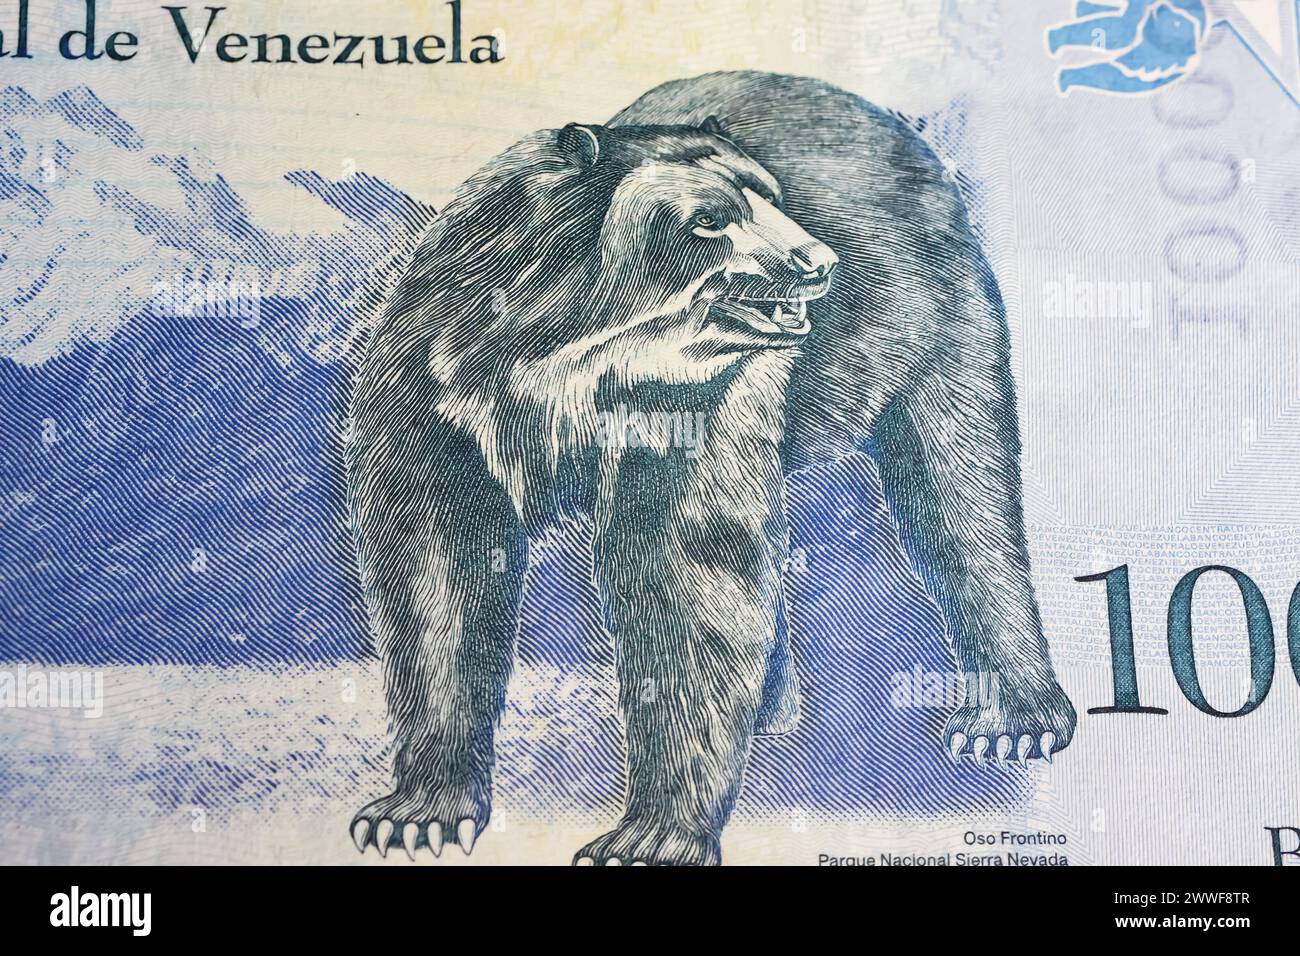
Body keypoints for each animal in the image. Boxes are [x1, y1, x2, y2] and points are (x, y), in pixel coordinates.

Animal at [345, 71, 1077, 866]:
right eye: (711, 220)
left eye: (773, 195)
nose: (817, 262)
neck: (568, 356)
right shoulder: (437, 375)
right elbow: (437, 560)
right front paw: (417, 811)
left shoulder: (695, 395)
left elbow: (687, 564)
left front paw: (648, 835)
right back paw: (771, 706)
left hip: (933, 315)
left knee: (962, 484)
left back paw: (1010, 721)